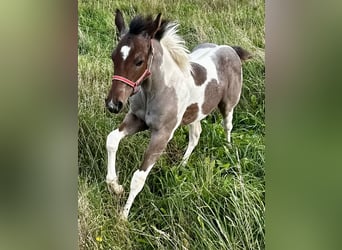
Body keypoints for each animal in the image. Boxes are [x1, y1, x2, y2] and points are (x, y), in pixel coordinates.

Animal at [104, 9, 251, 219]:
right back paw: (182, 166)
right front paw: (115, 186)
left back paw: (229, 149)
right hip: (195, 113)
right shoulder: (137, 120)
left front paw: (123, 217)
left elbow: (138, 177)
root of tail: (229, 48)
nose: (113, 104)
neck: (155, 90)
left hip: (229, 103)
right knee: (195, 135)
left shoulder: (162, 134)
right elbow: (112, 140)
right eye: (113, 57)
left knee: (227, 125)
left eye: (139, 61)